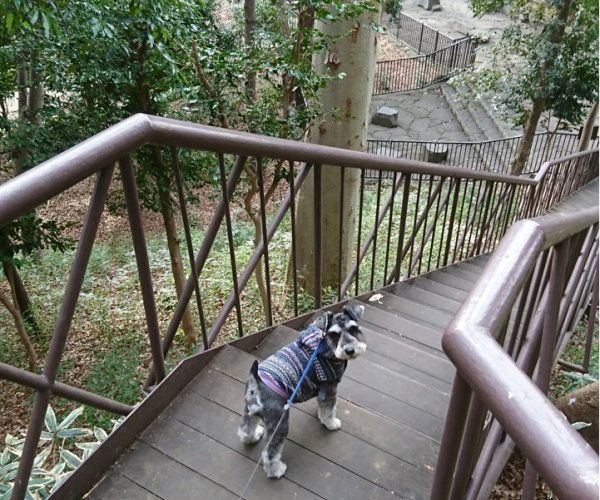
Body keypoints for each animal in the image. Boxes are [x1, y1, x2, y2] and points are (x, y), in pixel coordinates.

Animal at [237, 304, 366, 479]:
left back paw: (253, 436)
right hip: (279, 423)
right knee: (269, 453)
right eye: (334, 334)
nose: (350, 350)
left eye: (353, 329)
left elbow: (322, 407)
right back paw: (276, 470)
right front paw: (331, 423)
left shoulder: (322, 390)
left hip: (250, 412)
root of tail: (255, 384)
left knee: (245, 429)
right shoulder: (329, 388)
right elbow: (329, 410)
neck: (324, 346)